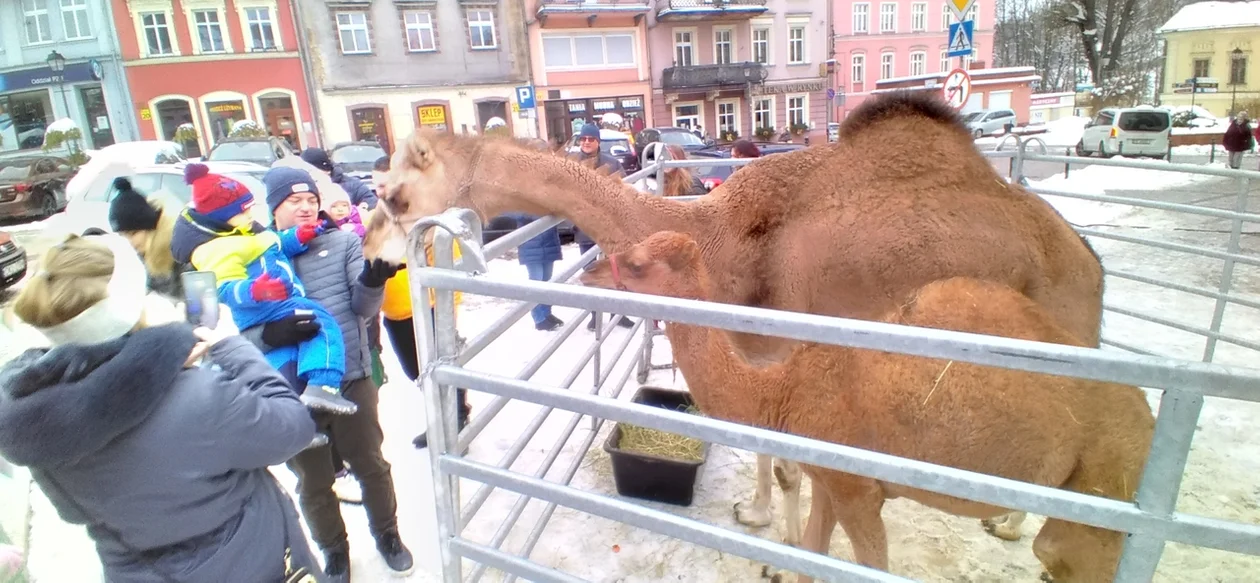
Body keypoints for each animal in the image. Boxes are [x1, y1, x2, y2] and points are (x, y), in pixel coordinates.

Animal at [365, 92, 1103, 549]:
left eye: (395, 195)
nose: (371, 251)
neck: (721, 241)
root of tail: (1089, 261)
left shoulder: (787, 347)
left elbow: (789, 462)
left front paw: (784, 538)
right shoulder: (757, 350)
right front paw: (756, 514)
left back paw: (1011, 523)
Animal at [577, 231, 1154, 583]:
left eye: (636, 263)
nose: (587, 273)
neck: (784, 387)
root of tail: (1149, 419)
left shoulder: (859, 491)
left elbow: (867, 562)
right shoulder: (832, 479)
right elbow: (811, 550)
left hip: (1103, 488)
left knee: (1065, 551)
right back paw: (1007, 528)